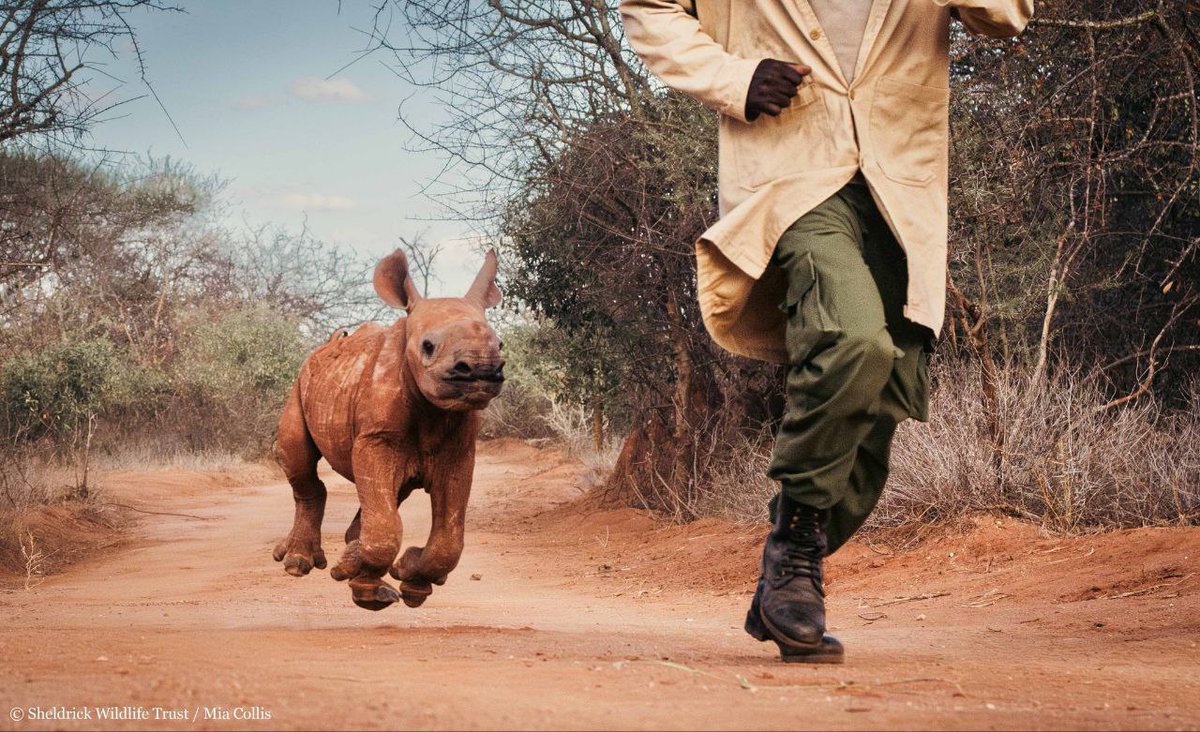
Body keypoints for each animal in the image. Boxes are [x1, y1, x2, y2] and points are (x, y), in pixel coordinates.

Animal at [272, 248, 504, 610]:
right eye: (427, 346)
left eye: (501, 345)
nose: (482, 369)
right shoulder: (375, 440)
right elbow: (385, 527)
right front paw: (370, 590)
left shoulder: (459, 452)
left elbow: (449, 536)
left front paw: (410, 582)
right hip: (300, 382)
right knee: (298, 455)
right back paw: (298, 564)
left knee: (390, 495)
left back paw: (353, 566)